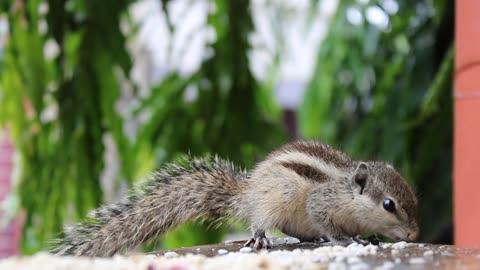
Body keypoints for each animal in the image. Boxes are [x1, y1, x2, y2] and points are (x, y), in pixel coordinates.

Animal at [52, 140, 418, 256]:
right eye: (389, 204)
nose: (414, 233)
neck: (347, 192)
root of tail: (248, 193)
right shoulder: (322, 202)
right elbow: (329, 224)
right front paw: (346, 239)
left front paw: (370, 237)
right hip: (277, 199)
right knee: (261, 221)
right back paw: (261, 238)